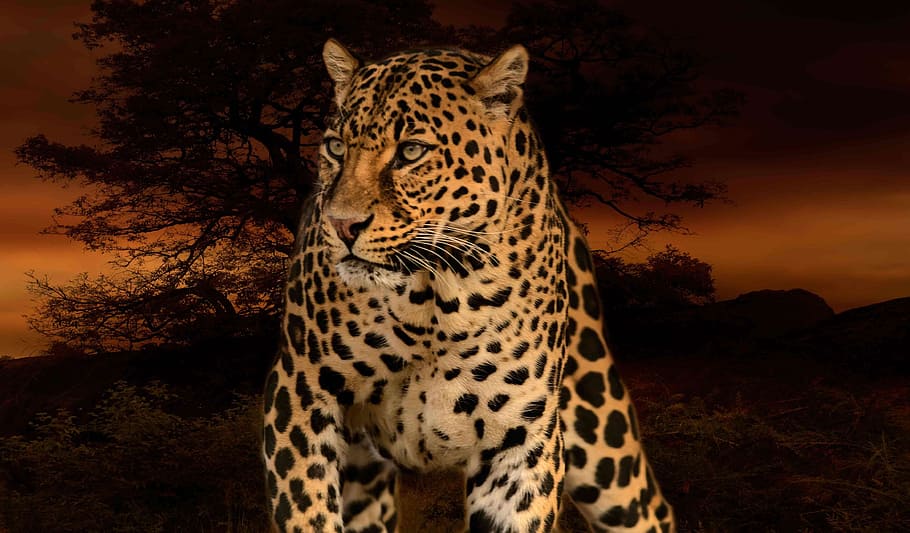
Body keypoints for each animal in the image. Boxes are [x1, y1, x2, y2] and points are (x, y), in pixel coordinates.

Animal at [262, 39, 676, 533]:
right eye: (336, 147)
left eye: (411, 151)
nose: (341, 225)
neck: (433, 296)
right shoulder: (300, 397)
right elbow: (308, 511)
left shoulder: (520, 438)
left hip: (601, 436)